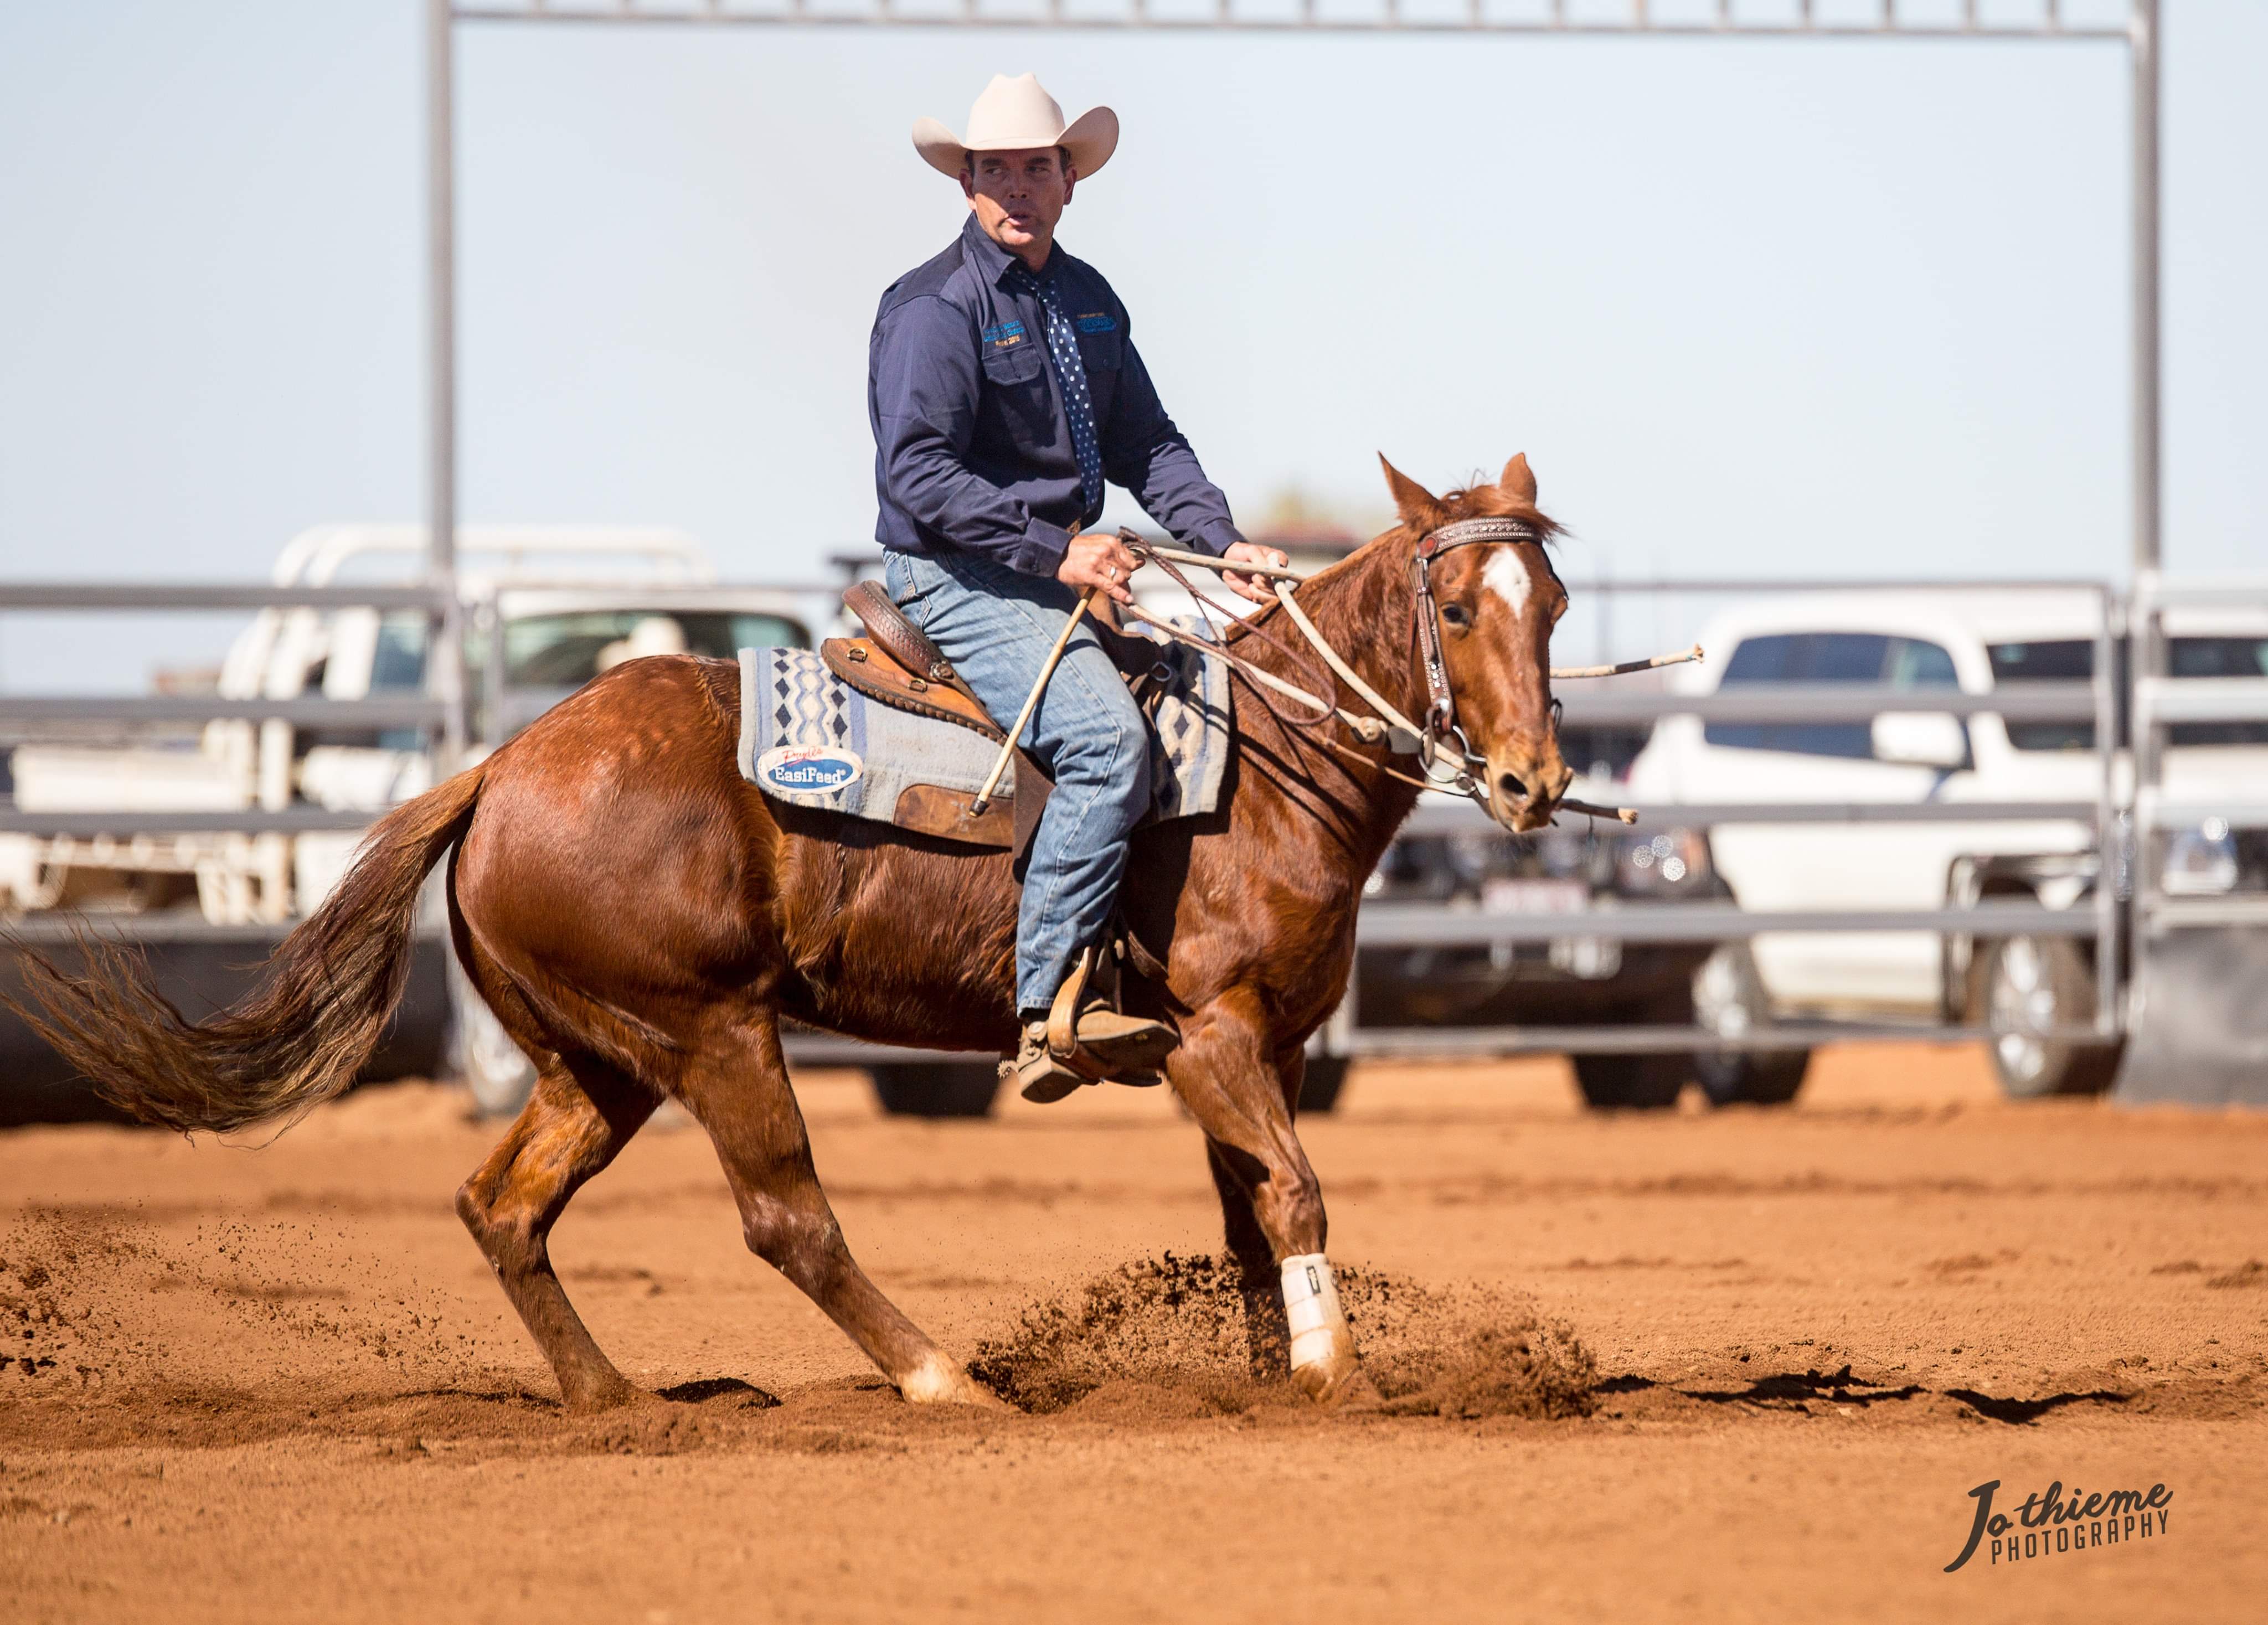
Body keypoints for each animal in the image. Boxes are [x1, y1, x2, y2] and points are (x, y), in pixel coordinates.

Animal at [10, 451, 1572, 1411]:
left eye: (1549, 604)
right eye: (1450, 604)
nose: (1531, 782)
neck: (1261, 769)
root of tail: (497, 770)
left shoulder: (1270, 1051)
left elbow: (1250, 1217)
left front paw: (1270, 1380)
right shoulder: (1215, 1039)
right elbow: (1294, 1195)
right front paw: (1331, 1376)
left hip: (599, 1059)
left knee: (505, 1205)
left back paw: (616, 1402)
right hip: (712, 1032)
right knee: (786, 1218)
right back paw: (939, 1378)